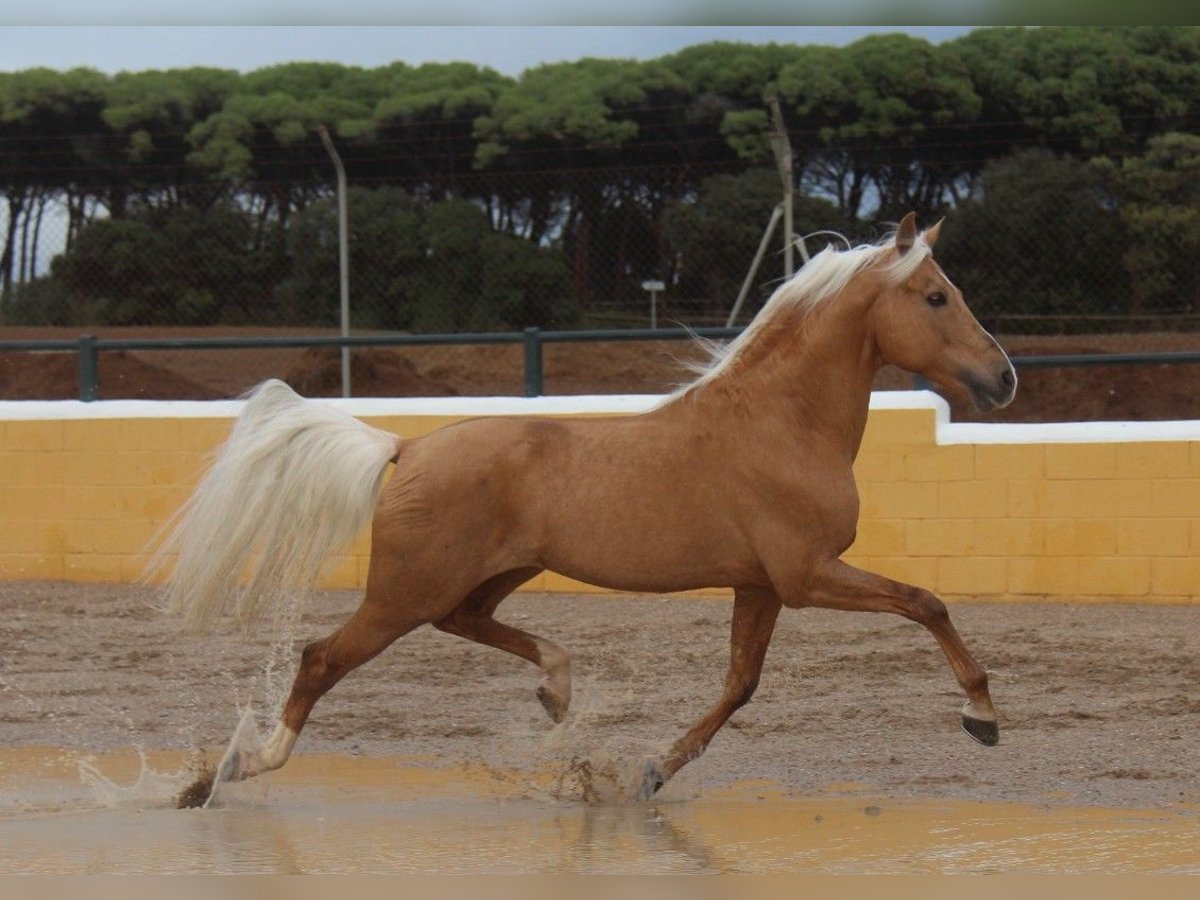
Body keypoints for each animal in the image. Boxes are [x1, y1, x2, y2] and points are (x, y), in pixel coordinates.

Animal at [157, 213, 1016, 800]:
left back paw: (557, 687)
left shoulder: (762, 584)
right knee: (321, 658)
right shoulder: (807, 574)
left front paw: (649, 771)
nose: (1004, 378)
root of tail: (405, 449)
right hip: (406, 590)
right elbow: (927, 602)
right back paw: (238, 766)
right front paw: (981, 714)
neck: (782, 423)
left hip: (487, 576)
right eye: (935, 296)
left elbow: (741, 684)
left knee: (466, 624)